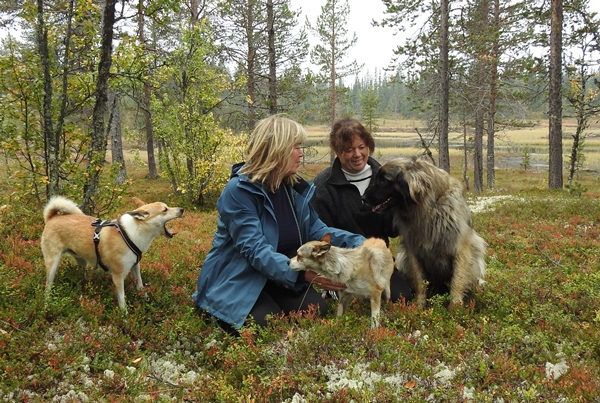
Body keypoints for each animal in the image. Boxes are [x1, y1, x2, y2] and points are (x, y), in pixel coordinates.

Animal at [40, 197, 183, 310]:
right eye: (165, 209)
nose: (182, 209)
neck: (132, 234)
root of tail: (52, 217)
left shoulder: (135, 266)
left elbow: (140, 285)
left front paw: (145, 299)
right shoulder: (118, 276)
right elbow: (122, 298)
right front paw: (124, 315)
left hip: (82, 261)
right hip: (52, 264)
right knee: (47, 285)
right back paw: (46, 303)